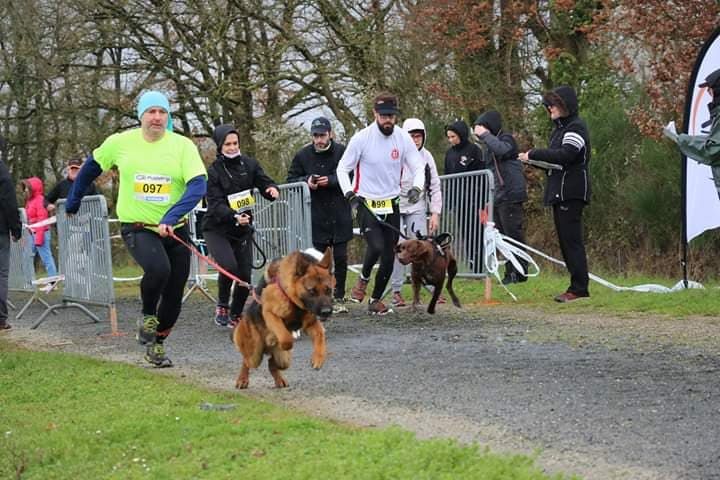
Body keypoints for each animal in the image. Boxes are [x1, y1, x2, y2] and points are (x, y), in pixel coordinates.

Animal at [231, 248, 334, 390]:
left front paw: (318, 358)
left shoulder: (311, 323)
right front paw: (281, 340)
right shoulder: (270, 313)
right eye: (312, 291)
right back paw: (242, 379)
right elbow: (286, 338)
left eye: (328, 290)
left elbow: (320, 335)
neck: (293, 299)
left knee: (271, 363)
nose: (327, 312)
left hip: (284, 361)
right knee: (247, 361)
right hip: (254, 356)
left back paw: (278, 377)